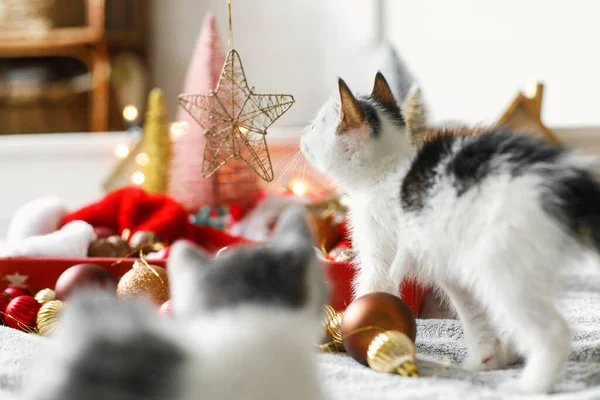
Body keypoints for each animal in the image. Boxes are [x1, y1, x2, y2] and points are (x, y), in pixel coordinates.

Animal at [302, 72, 600, 394]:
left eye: (317, 125)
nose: (303, 132)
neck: (386, 171)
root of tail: (570, 186)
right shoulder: (451, 270)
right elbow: (473, 313)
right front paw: (486, 358)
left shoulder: (380, 249)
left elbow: (372, 289)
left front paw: (349, 333)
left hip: (501, 263)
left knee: (554, 331)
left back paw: (530, 385)